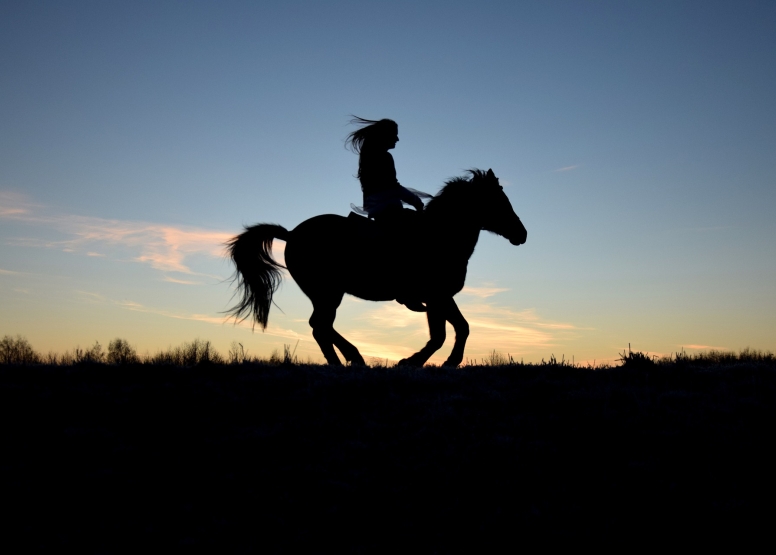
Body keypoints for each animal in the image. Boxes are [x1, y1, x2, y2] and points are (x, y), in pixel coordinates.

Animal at [226, 169, 528, 370]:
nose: (522, 234)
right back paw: (349, 360)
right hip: (328, 293)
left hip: (325, 294)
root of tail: (291, 234)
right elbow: (446, 333)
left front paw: (434, 362)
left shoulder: (439, 298)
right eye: (497, 201)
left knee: (321, 326)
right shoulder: (437, 296)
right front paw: (419, 362)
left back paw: (347, 360)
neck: (439, 236)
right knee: (320, 326)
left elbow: (453, 330)